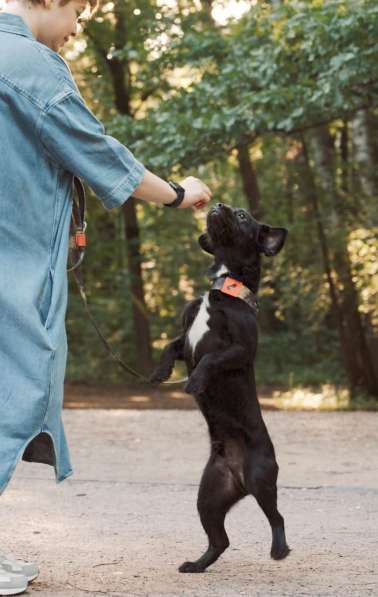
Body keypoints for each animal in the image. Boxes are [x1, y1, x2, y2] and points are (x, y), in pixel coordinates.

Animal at [149, 204, 290, 572]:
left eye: (242, 217)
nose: (218, 205)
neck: (225, 288)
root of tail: (238, 478)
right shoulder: (185, 339)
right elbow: (168, 347)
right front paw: (159, 372)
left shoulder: (240, 349)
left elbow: (212, 359)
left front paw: (196, 380)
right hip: (209, 497)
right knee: (220, 540)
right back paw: (197, 565)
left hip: (262, 478)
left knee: (277, 517)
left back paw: (280, 549)